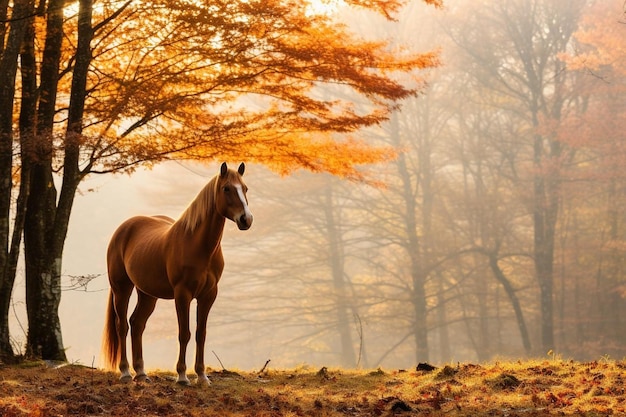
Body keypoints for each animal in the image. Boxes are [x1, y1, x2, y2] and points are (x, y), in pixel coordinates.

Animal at [100, 162, 251, 384]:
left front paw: (202, 376)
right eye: (226, 189)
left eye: (245, 188)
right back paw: (126, 372)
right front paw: (182, 376)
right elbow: (184, 333)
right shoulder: (182, 294)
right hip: (122, 288)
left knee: (137, 324)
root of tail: (123, 229)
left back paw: (141, 372)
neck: (198, 245)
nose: (246, 219)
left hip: (148, 294)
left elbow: (200, 333)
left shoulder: (208, 295)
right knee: (122, 327)